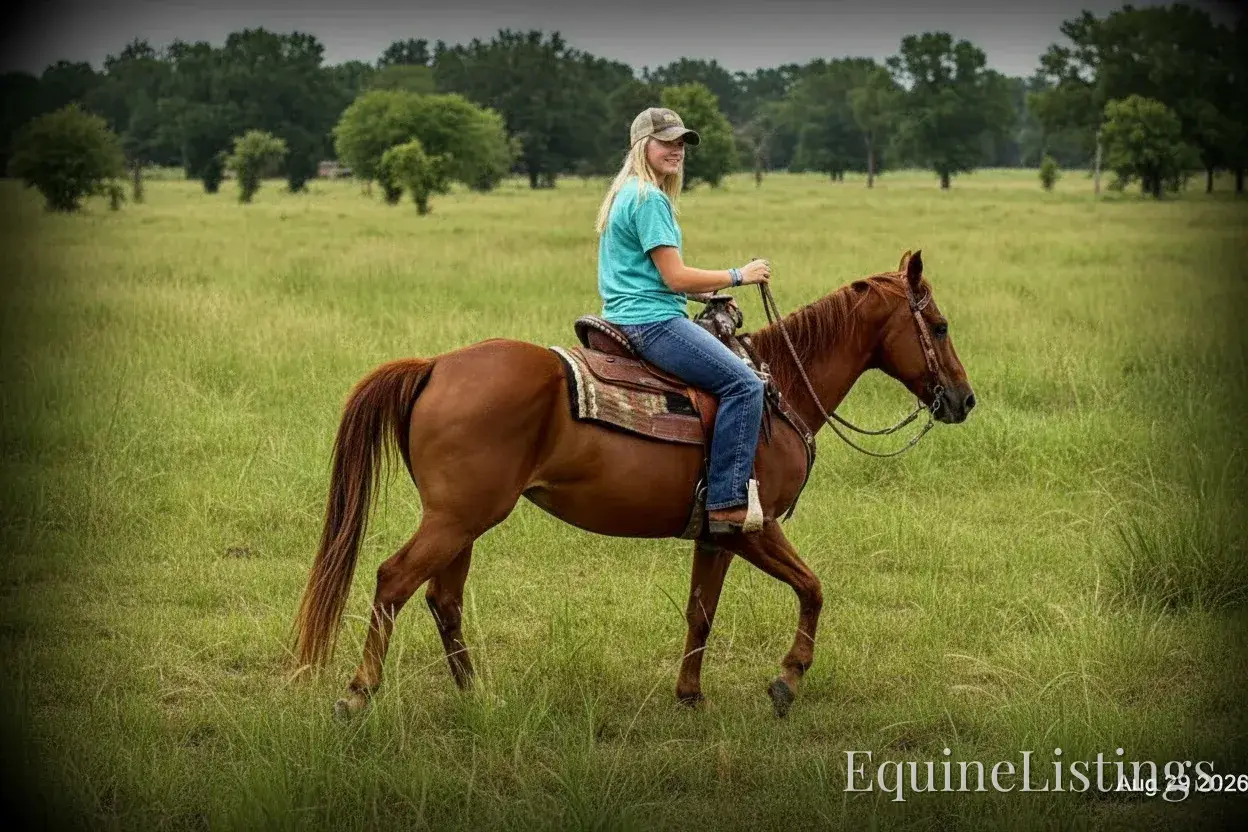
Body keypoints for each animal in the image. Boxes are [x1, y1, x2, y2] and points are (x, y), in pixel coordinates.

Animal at [292, 250, 976, 718]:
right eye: (941, 326)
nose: (964, 400)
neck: (776, 387)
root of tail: (435, 366)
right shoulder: (753, 528)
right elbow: (812, 589)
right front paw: (786, 681)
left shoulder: (717, 535)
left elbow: (701, 612)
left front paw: (690, 696)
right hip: (454, 519)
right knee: (393, 581)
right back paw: (358, 694)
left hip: (464, 522)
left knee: (443, 599)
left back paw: (477, 696)